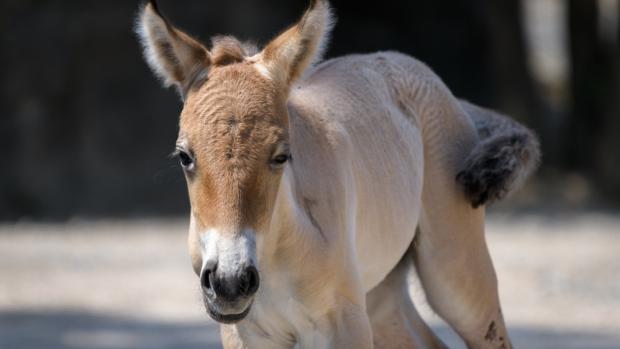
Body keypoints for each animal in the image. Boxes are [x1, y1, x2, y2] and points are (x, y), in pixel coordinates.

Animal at [136, 1, 536, 346]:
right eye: (185, 157)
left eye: (281, 156)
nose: (230, 282)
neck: (276, 253)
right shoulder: (247, 331)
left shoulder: (341, 324)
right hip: (380, 298)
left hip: (454, 275)